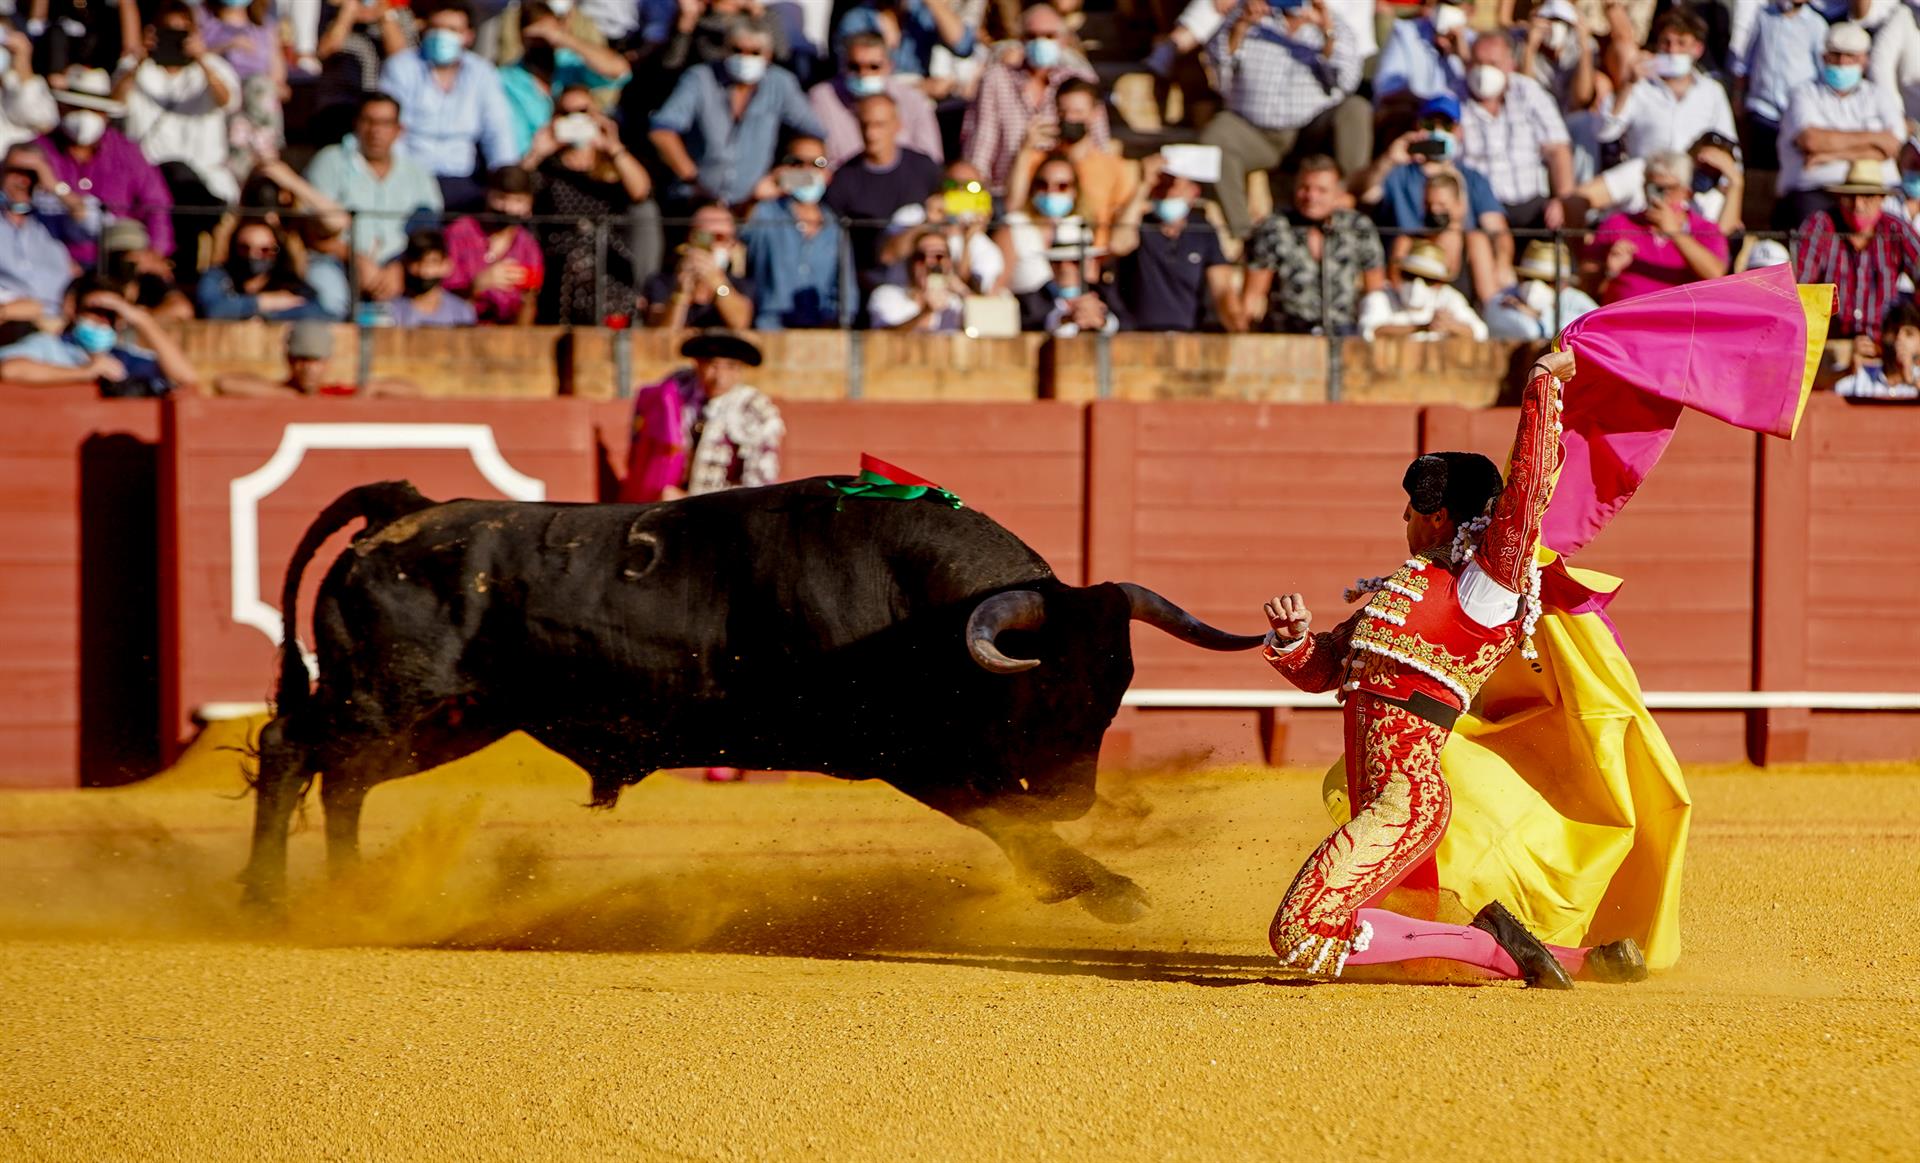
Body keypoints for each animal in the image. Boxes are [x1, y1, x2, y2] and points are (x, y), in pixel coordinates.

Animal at [243, 481, 1259, 921]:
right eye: (1043, 687)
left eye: (1117, 686)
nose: (1077, 795)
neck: (917, 608)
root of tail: (402, 509)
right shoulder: (903, 752)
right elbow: (1002, 816)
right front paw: (1107, 888)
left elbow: (1008, 815)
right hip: (388, 696)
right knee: (297, 750)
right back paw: (269, 900)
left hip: (452, 717)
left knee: (344, 779)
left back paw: (354, 893)